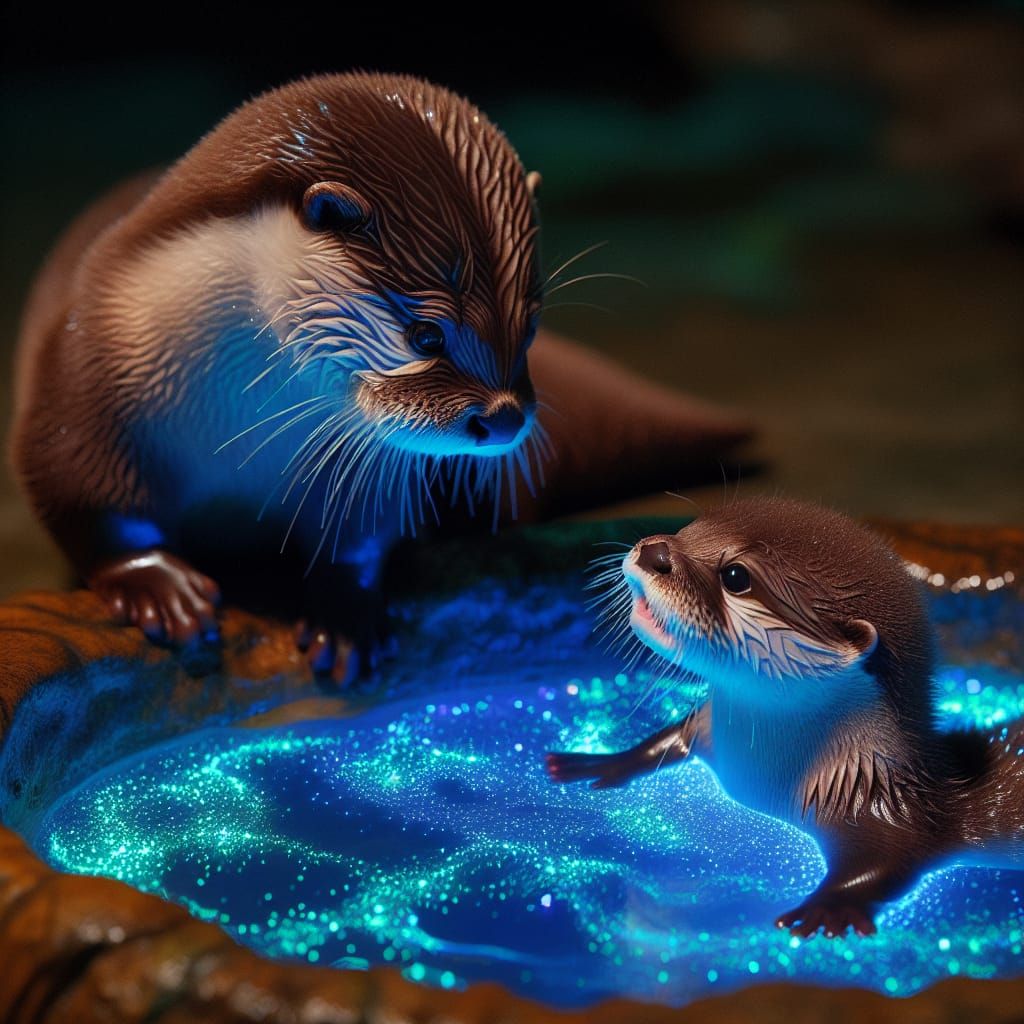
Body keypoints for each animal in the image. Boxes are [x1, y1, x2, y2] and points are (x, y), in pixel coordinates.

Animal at [547, 498, 1023, 937]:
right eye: (689, 527)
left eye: (736, 577)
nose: (655, 550)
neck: (758, 775)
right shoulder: (707, 729)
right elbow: (665, 738)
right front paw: (598, 761)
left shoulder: (881, 807)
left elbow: (889, 861)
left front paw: (827, 906)